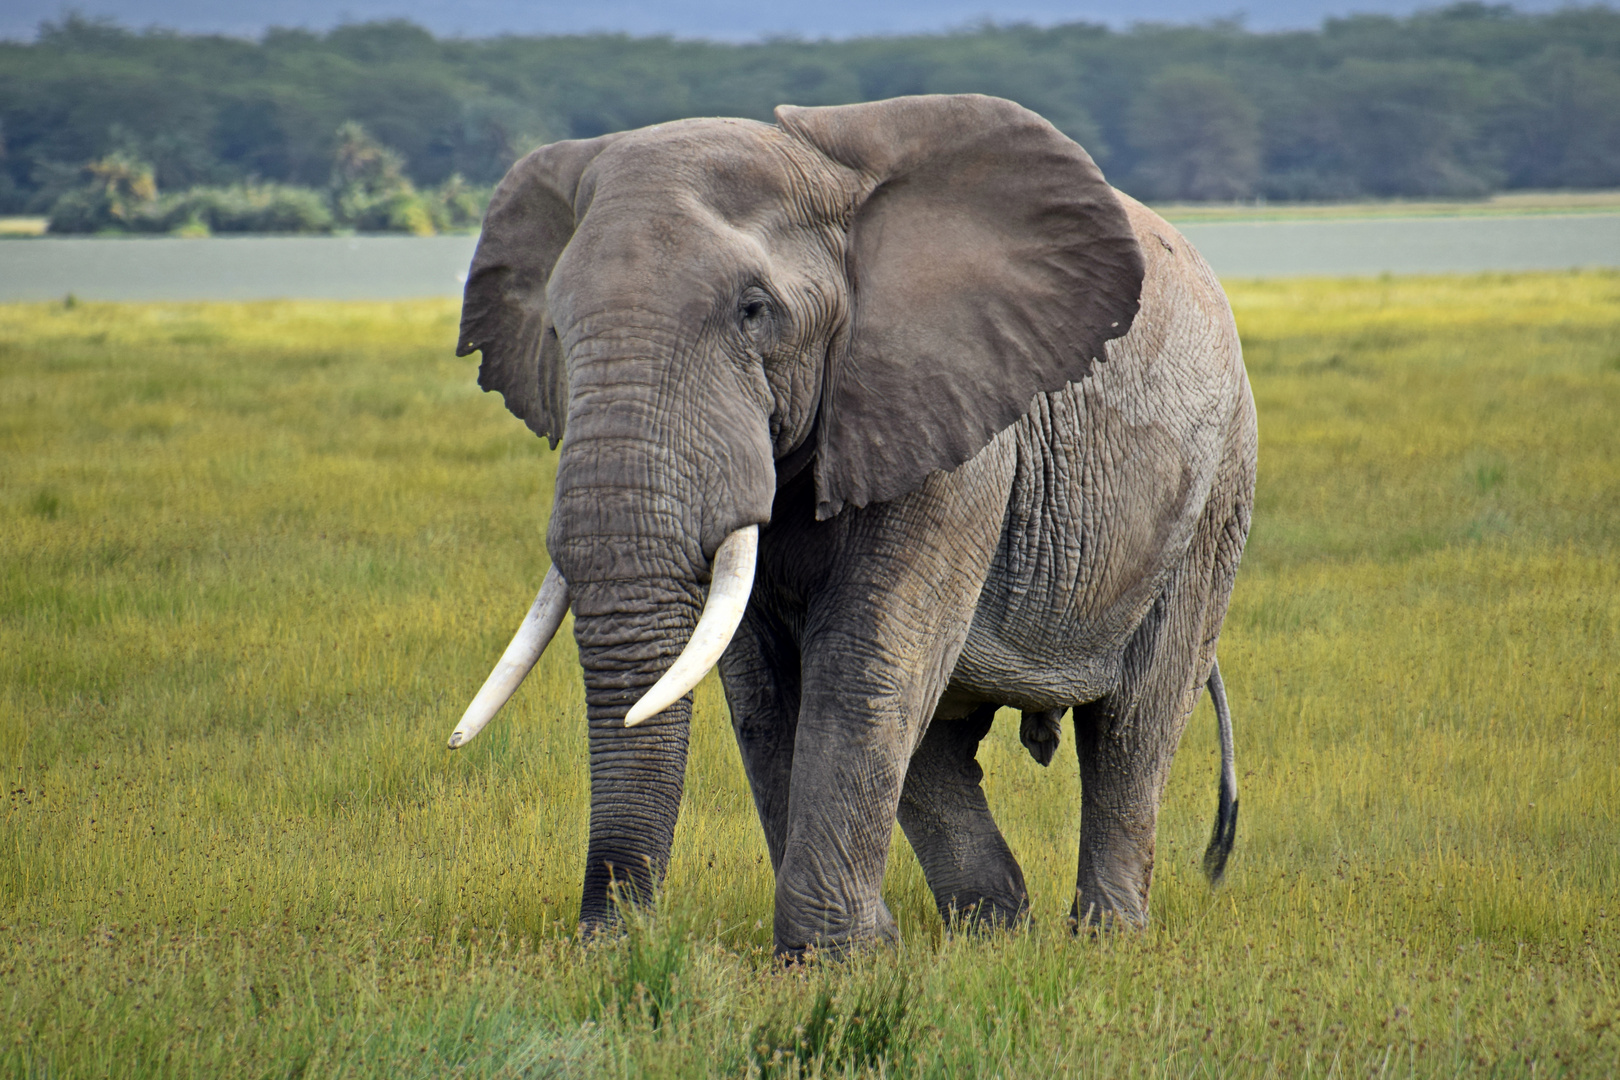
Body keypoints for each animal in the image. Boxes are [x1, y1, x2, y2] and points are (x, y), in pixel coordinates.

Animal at [450, 93, 1257, 952]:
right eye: (555, 333)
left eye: (753, 312)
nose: (613, 944)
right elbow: (766, 691)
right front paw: (860, 953)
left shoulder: (946, 412)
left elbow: (864, 658)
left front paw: (832, 961)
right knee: (940, 743)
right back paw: (992, 935)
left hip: (1215, 491)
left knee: (1134, 723)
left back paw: (1101, 941)